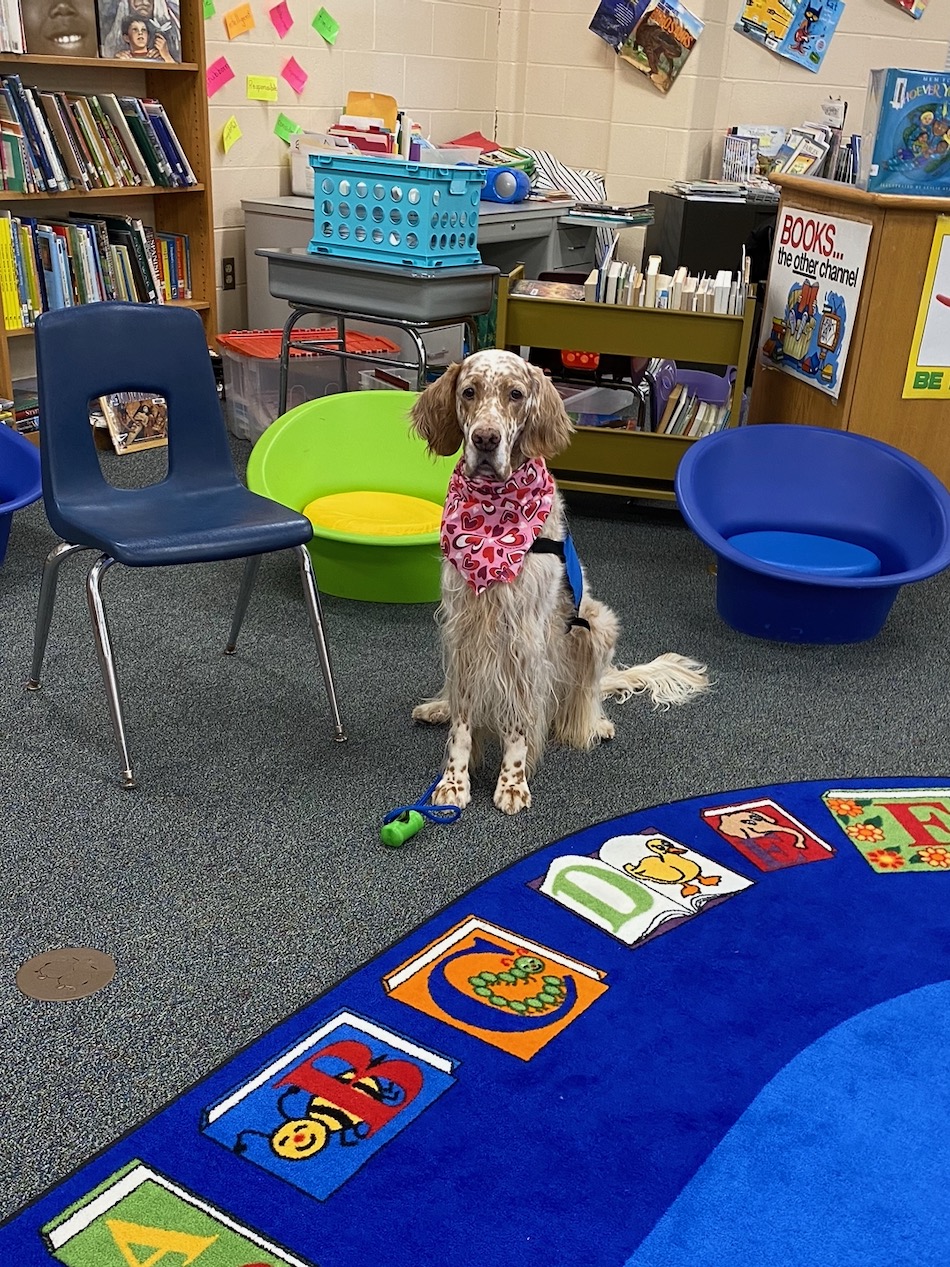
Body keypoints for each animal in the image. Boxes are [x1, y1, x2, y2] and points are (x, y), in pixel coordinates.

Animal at [410, 352, 709, 815]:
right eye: (469, 391)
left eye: (515, 394)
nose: (485, 439)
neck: (493, 518)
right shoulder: (463, 632)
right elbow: (463, 720)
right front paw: (453, 781)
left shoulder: (525, 640)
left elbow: (518, 723)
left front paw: (512, 783)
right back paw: (437, 707)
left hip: (598, 625)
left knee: (582, 700)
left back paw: (593, 724)